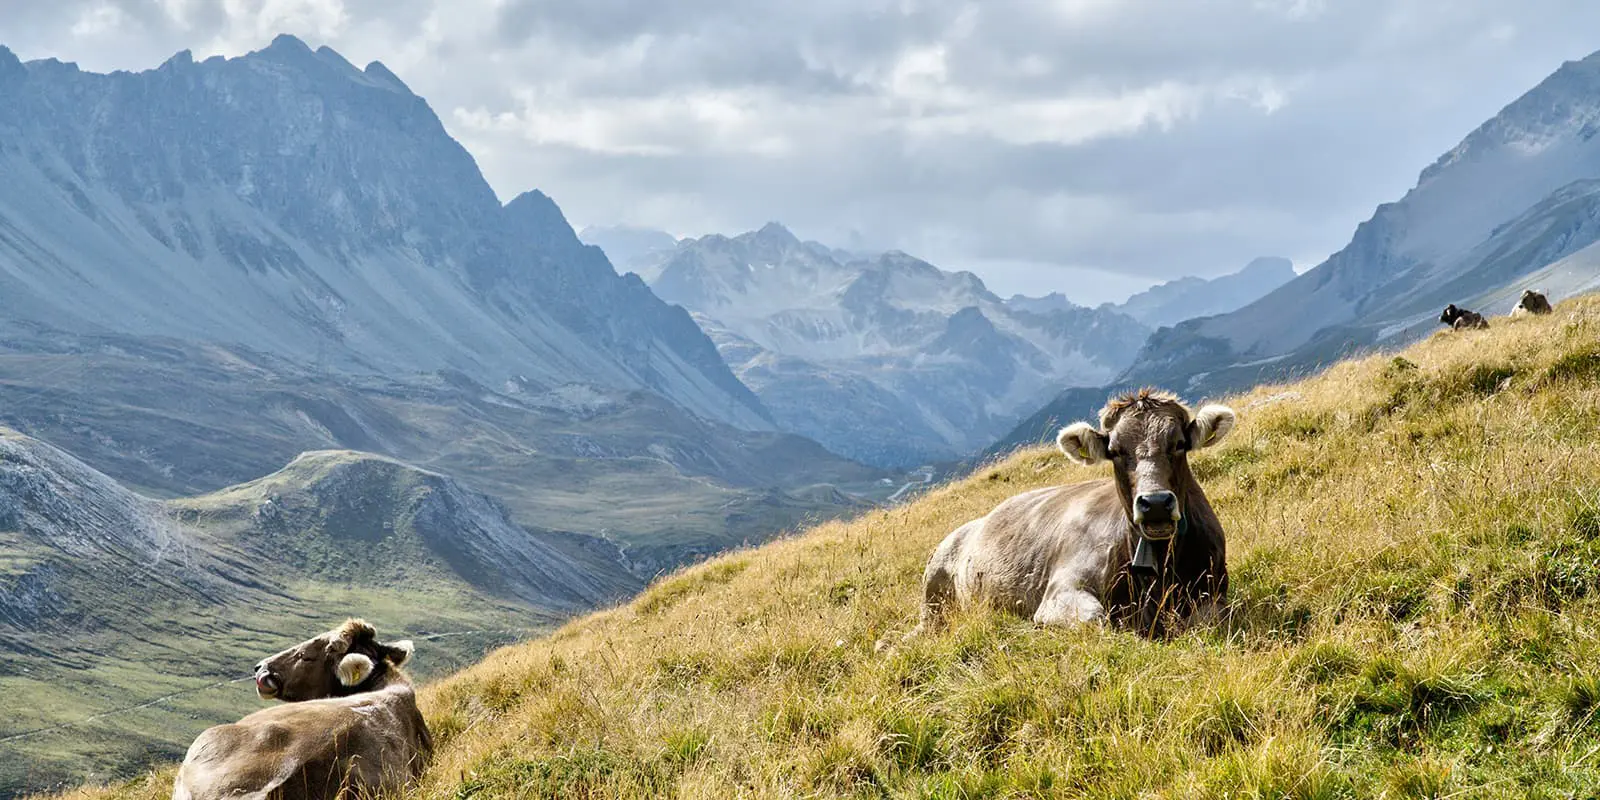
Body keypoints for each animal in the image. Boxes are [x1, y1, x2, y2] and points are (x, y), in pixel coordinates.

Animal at [915, 387, 1235, 636]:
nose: (1155, 503)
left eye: (1179, 444)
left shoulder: (1215, 590)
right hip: (932, 600)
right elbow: (1096, 620)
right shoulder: (1059, 592)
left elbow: (1206, 619)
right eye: (1115, 451)